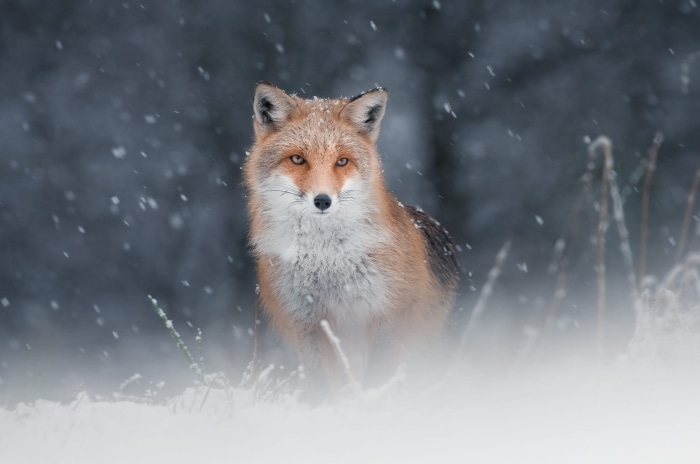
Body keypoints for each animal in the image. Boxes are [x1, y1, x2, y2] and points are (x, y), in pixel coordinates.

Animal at [243, 82, 458, 400]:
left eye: (342, 161)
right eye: (297, 159)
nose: (322, 200)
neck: (327, 261)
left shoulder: (387, 314)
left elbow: (376, 380)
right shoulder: (306, 321)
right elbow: (321, 386)